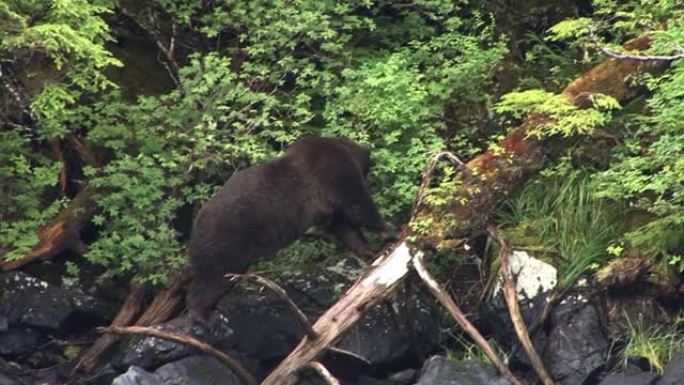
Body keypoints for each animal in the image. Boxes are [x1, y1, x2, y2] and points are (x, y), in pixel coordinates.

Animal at [186, 136, 396, 320]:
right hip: (226, 241)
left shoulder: (329, 203)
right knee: (213, 278)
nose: (372, 179)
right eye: (368, 170)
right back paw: (203, 315)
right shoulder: (332, 171)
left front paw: (373, 249)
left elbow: (344, 226)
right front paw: (389, 233)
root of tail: (195, 225)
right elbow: (357, 204)